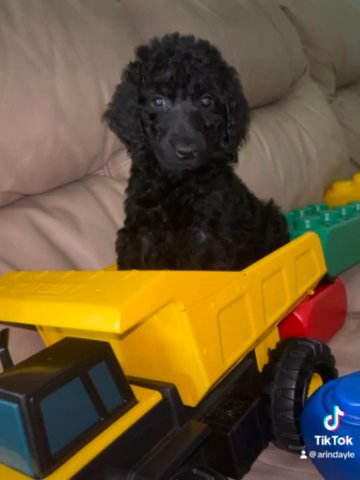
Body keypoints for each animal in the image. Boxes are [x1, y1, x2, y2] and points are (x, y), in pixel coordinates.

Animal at [105, 34, 290, 270]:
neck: (177, 181)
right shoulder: (141, 230)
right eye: (158, 101)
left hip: (272, 221)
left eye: (206, 100)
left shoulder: (207, 233)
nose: (186, 151)